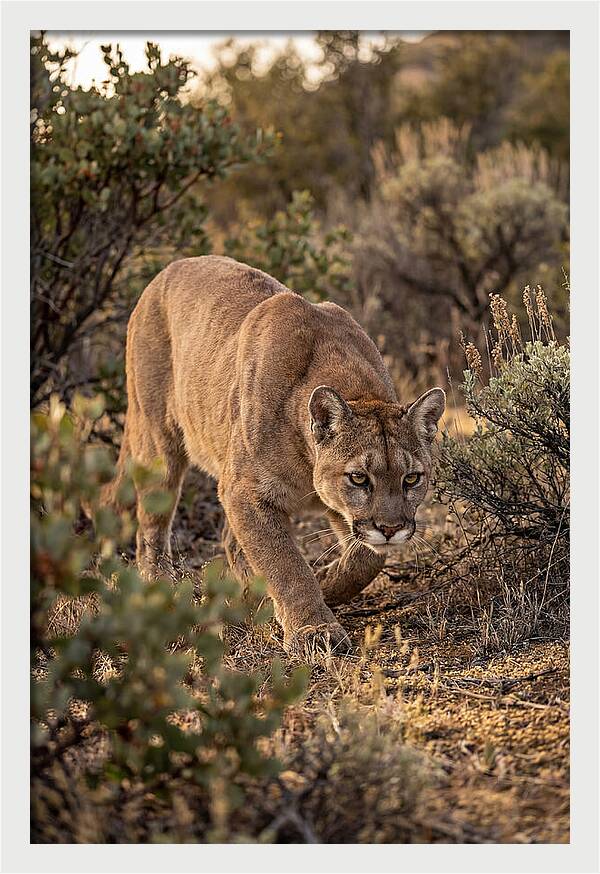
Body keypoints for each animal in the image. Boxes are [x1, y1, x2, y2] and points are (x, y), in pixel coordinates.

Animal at [104, 256, 445, 654]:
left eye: (412, 478)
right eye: (359, 478)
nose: (390, 529)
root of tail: (167, 269)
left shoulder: (332, 508)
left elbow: (367, 557)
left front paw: (326, 581)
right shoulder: (247, 492)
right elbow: (285, 563)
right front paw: (314, 630)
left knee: (229, 541)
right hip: (159, 442)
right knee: (152, 527)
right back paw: (161, 586)